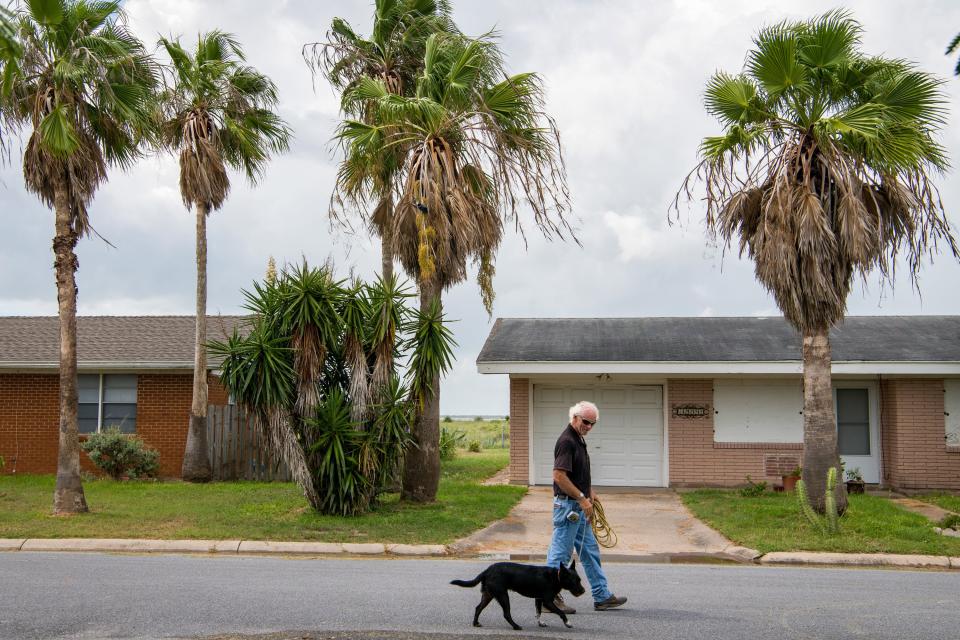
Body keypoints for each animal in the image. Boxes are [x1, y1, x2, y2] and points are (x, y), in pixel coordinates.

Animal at [450, 560, 584, 632]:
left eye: (580, 580)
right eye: (574, 581)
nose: (583, 591)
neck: (556, 576)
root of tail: (486, 571)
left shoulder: (539, 599)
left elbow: (538, 612)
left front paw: (541, 623)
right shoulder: (547, 601)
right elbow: (561, 613)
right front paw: (568, 623)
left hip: (488, 595)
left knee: (478, 608)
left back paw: (475, 623)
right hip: (503, 596)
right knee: (506, 614)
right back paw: (516, 626)